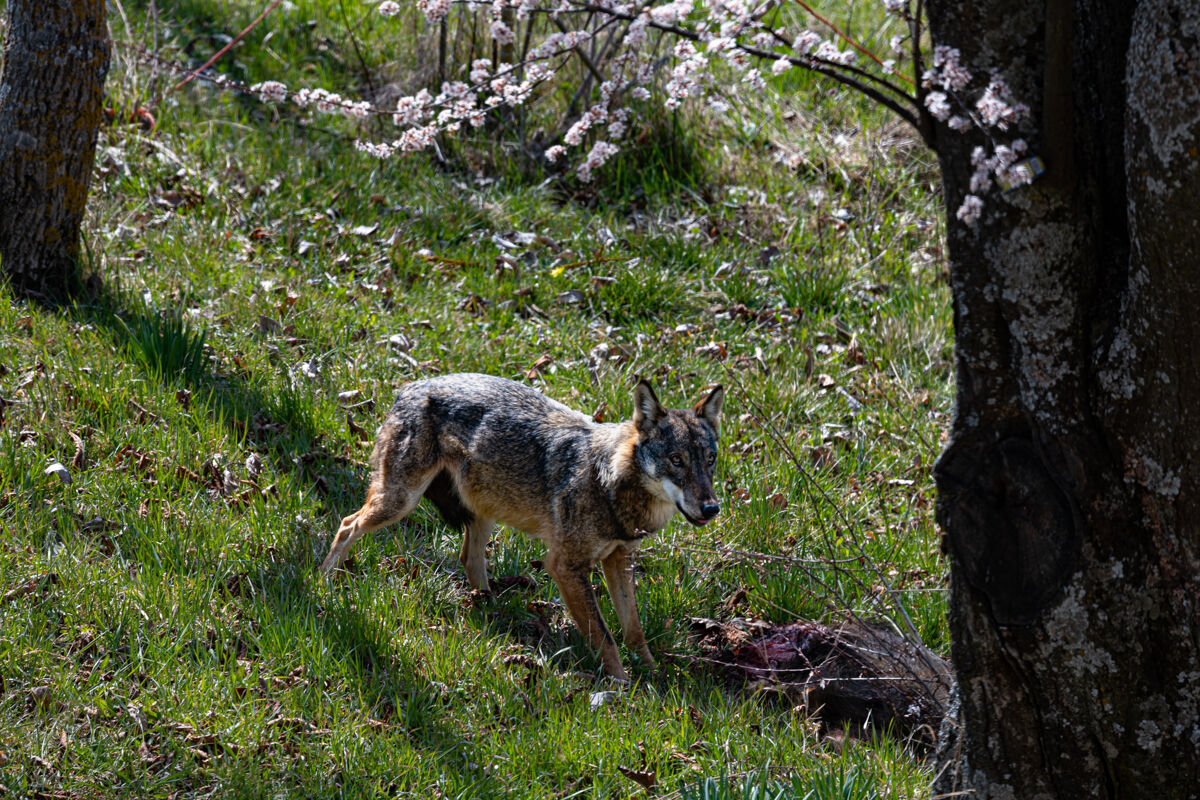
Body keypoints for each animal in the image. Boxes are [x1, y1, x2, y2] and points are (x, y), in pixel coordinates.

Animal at [320, 373, 724, 681]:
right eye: (676, 460)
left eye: (709, 460)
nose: (712, 507)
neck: (608, 481)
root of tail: (410, 387)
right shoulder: (565, 567)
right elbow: (605, 635)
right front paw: (623, 688)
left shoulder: (619, 560)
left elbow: (634, 628)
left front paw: (652, 674)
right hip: (399, 503)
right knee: (346, 524)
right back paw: (324, 584)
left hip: (480, 511)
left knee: (469, 560)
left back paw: (491, 609)